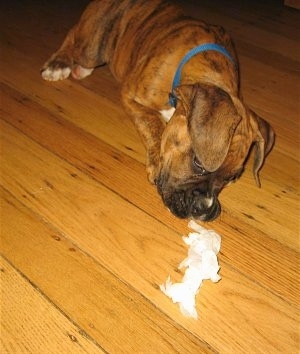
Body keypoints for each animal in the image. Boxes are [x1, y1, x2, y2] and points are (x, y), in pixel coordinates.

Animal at [41, 0, 276, 220]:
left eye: (233, 178)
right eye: (198, 163)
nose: (204, 210)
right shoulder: (132, 96)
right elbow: (153, 124)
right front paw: (157, 159)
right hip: (92, 47)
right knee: (74, 36)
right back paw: (58, 64)